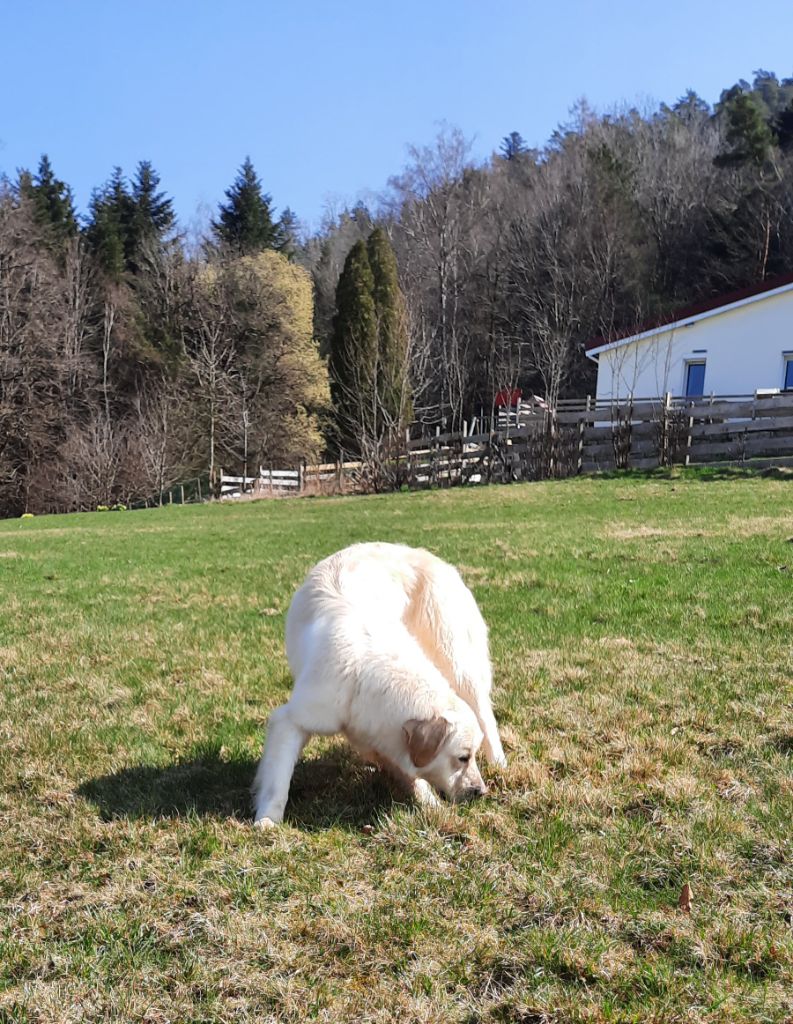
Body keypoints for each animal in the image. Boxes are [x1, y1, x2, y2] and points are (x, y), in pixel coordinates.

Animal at [252, 542, 506, 827]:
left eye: (471, 756)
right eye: (463, 758)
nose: (481, 792)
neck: (362, 679)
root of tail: (428, 556)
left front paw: (431, 807)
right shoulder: (293, 720)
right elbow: (278, 782)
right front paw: (267, 820)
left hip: (459, 666)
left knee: (486, 717)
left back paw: (499, 763)